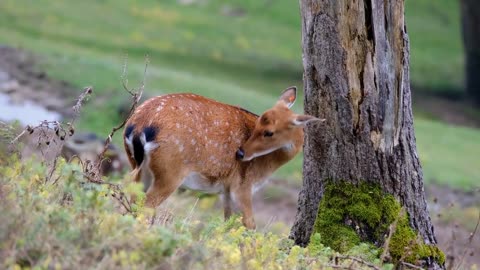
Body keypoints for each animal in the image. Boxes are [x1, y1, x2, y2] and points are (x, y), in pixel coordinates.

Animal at [123, 86, 322, 228]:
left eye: (269, 132)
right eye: (259, 124)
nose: (241, 153)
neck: (266, 167)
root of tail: (138, 126)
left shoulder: (226, 191)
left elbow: (229, 223)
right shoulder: (241, 185)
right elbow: (249, 225)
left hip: (139, 167)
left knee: (133, 197)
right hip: (170, 172)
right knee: (146, 205)